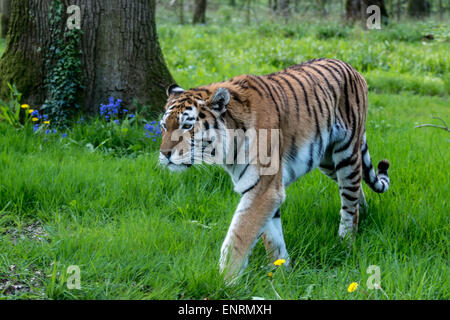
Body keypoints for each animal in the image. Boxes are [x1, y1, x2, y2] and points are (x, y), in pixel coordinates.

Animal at [159, 58, 390, 280]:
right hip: (327, 160)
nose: (164, 154)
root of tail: (350, 66)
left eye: (187, 126)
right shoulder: (261, 188)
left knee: (349, 201)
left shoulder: (264, 188)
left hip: (346, 152)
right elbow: (271, 236)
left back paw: (345, 242)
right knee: (356, 186)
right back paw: (365, 212)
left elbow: (238, 235)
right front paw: (281, 271)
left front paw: (224, 280)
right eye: (163, 126)